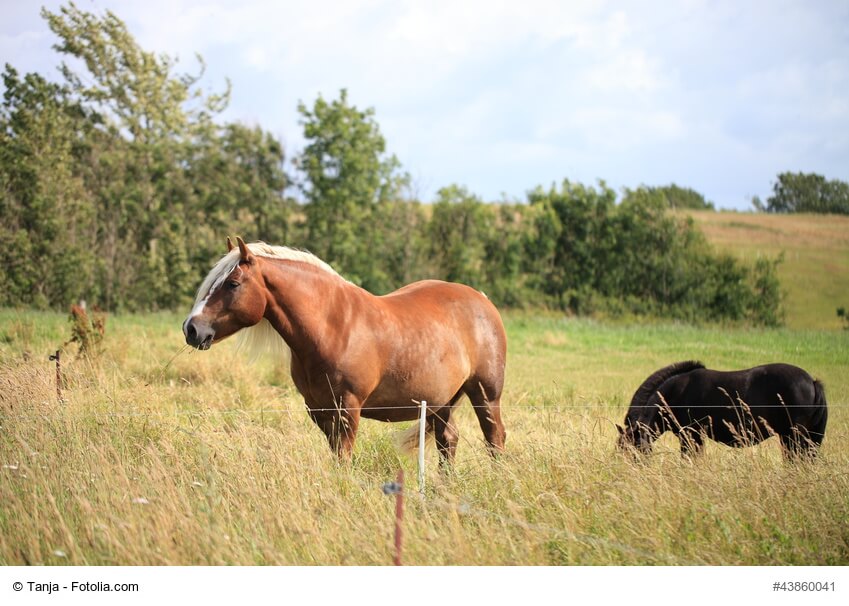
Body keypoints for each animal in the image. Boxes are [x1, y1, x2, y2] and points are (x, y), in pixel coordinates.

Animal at [182, 237, 507, 464]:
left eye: (233, 283)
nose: (191, 328)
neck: (333, 327)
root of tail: (482, 300)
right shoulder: (319, 410)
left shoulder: (348, 409)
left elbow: (344, 458)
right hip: (442, 401)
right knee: (448, 440)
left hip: (485, 395)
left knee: (495, 439)